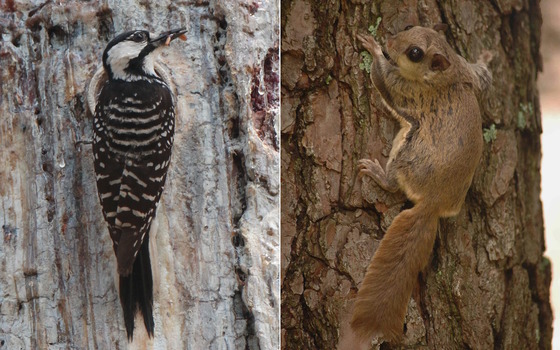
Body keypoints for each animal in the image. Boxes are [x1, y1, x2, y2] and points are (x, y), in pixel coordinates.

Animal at [352, 23, 492, 342]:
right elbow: (482, 77)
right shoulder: (468, 72)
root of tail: (432, 203)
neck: (447, 76)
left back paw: (377, 172)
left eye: (414, 53)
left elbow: (384, 78)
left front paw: (373, 47)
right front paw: (486, 58)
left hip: (408, 151)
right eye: (409, 27)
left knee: (393, 183)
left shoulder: (407, 90)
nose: (390, 41)